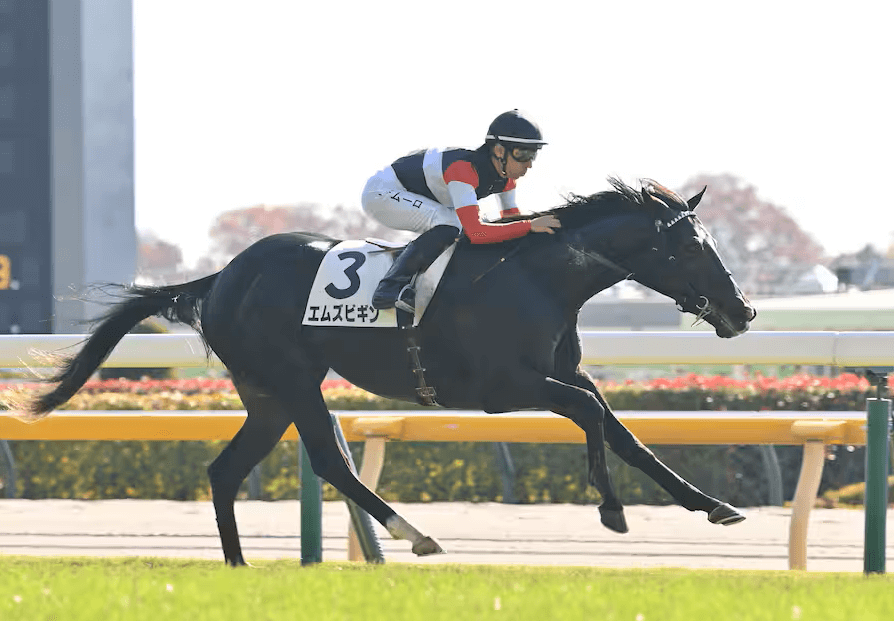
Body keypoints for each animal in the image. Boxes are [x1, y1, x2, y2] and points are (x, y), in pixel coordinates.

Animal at [27, 177, 756, 566]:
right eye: (693, 247)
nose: (742, 310)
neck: (540, 279)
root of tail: (221, 276)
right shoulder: (505, 389)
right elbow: (591, 416)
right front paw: (610, 510)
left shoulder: (564, 376)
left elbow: (621, 429)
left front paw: (713, 504)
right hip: (293, 378)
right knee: (328, 459)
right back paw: (416, 534)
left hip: (267, 394)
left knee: (226, 469)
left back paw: (238, 564)